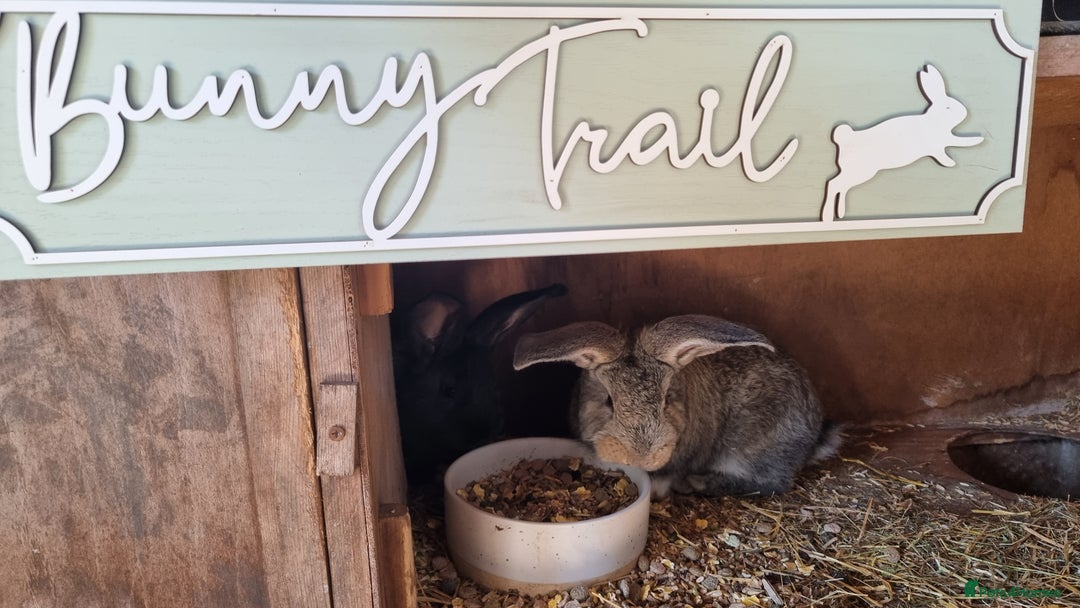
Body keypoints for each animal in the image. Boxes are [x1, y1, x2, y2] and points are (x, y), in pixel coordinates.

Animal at [513, 314, 840, 498]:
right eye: (608, 401)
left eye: (667, 398)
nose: (642, 457)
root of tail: (815, 437)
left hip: (756, 448)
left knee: (770, 483)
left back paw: (698, 483)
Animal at [822, 64, 983, 221]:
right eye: (948, 107)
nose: (965, 112)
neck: (934, 120)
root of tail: (844, 138)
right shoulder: (939, 144)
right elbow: (957, 143)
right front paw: (972, 144)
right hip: (862, 171)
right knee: (833, 184)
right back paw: (828, 216)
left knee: (840, 186)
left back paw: (839, 213)